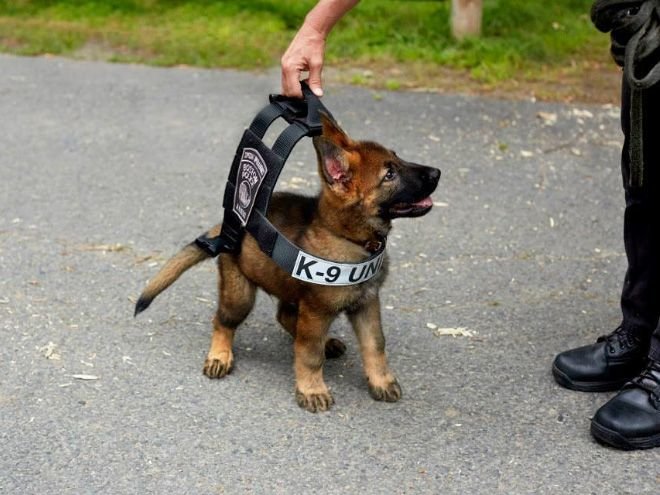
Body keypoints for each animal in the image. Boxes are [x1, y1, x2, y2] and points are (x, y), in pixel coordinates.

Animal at [135, 114, 440, 412]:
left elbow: (375, 345)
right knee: (223, 321)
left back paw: (326, 342)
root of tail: (226, 226)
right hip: (240, 294)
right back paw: (220, 355)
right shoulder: (317, 312)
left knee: (285, 317)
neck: (349, 238)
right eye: (389, 175)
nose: (437, 173)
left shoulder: (367, 303)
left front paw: (381, 381)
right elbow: (309, 354)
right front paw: (312, 389)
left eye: (397, 158)